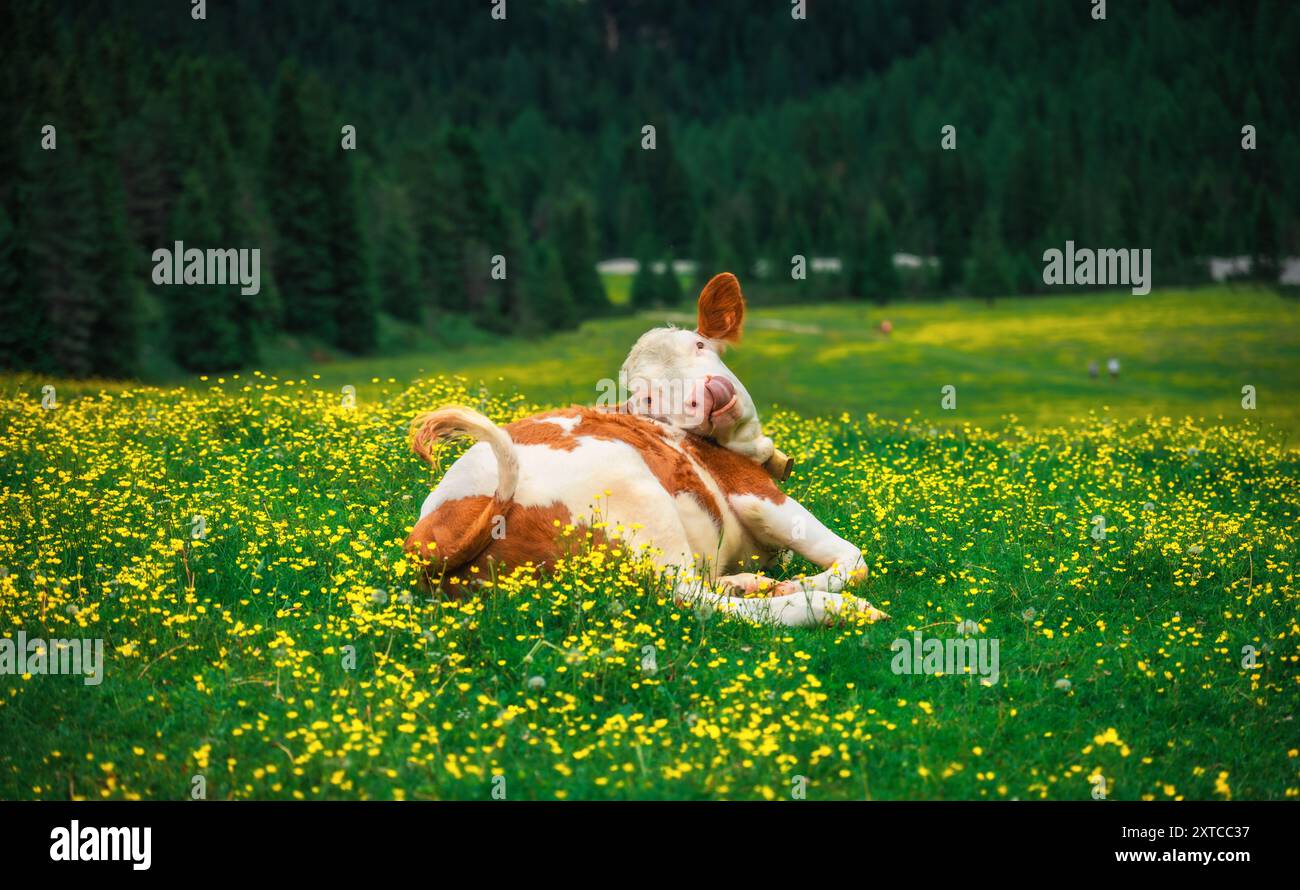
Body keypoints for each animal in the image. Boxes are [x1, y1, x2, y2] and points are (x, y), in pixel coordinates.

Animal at [403, 270, 883, 623]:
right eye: (649, 398)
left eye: (700, 344)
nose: (709, 394)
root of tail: (431, 544)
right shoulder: (757, 495)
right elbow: (853, 559)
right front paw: (804, 586)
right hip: (636, 492)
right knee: (691, 597)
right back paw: (832, 609)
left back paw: (747, 583)